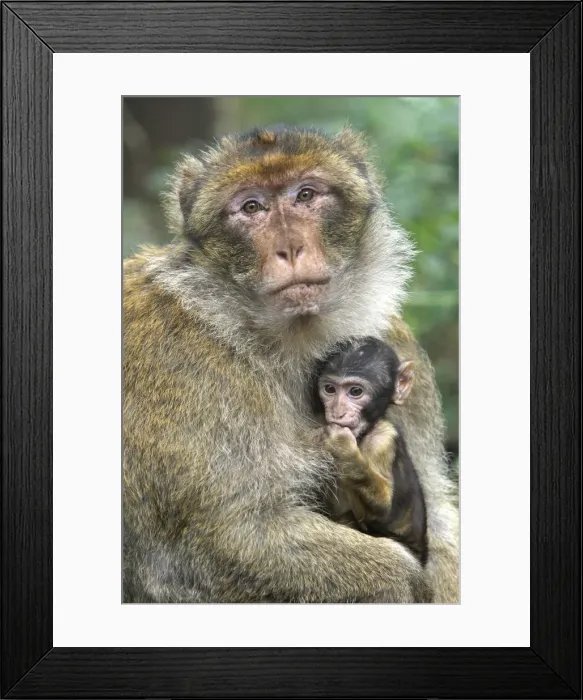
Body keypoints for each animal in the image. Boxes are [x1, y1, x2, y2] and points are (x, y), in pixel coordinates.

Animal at [312, 337, 428, 566]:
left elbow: (384, 508)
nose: (338, 412)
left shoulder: (382, 441)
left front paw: (342, 448)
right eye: (329, 389)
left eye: (355, 392)